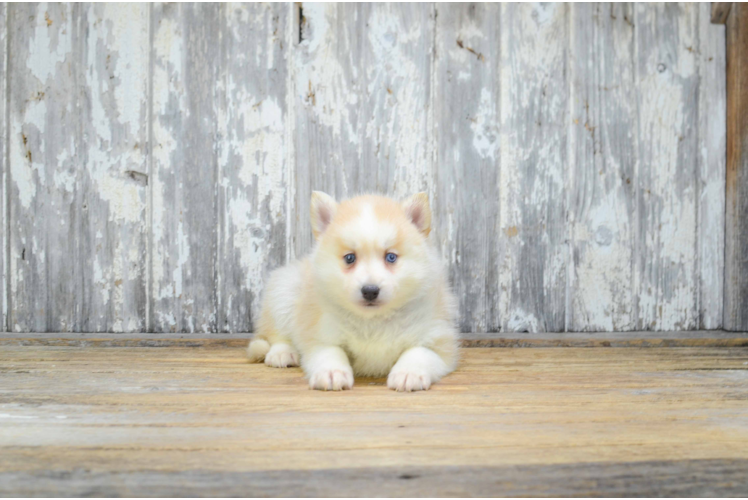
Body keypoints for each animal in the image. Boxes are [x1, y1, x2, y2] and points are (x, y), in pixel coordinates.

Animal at [248, 191, 458, 390]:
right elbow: (331, 353)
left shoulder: (437, 340)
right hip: (284, 291)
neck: (373, 322)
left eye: (390, 257)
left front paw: (408, 373)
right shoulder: (320, 336)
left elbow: (418, 353)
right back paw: (282, 353)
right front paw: (332, 372)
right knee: (276, 333)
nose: (370, 290)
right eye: (350, 258)